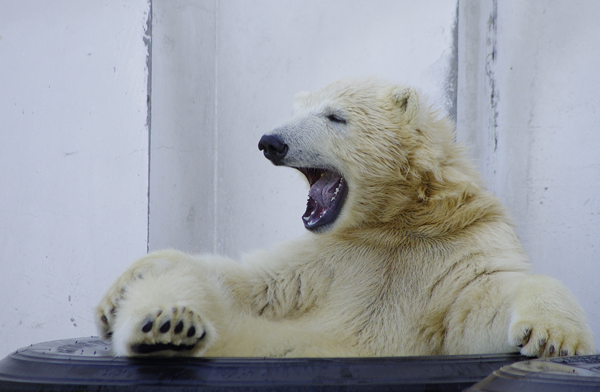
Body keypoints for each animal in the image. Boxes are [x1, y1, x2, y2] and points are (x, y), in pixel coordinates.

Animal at [95, 77, 596, 358]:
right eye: (296, 111)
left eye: (335, 116)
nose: (270, 141)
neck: (396, 222)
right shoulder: (328, 261)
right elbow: (251, 283)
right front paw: (115, 295)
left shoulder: (457, 247)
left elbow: (480, 308)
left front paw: (553, 336)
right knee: (191, 286)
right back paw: (167, 326)